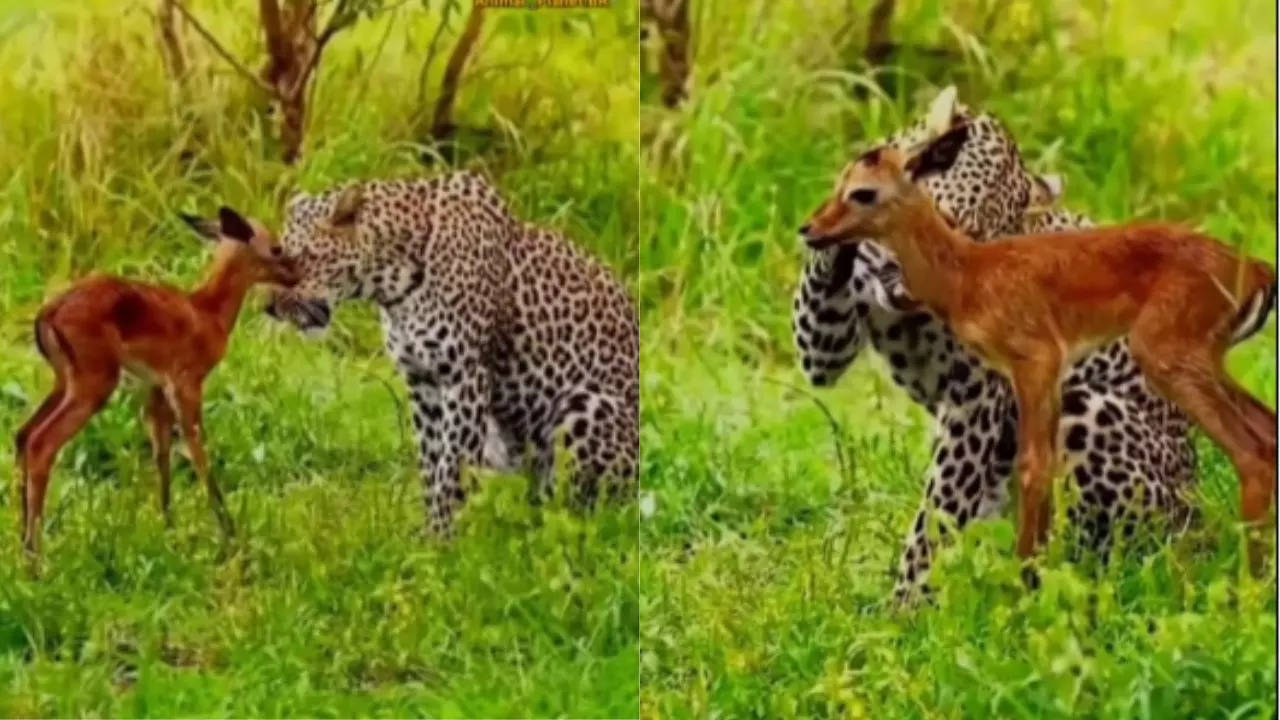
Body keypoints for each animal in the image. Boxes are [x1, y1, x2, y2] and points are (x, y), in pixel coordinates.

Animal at [267, 170, 637, 532]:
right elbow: (431, 464)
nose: (268, 307)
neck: (392, 286)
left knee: (579, 509)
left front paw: (449, 539)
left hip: (587, 406)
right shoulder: (422, 381)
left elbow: (452, 467)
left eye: (301, 260)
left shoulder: (465, 377)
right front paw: (432, 536)